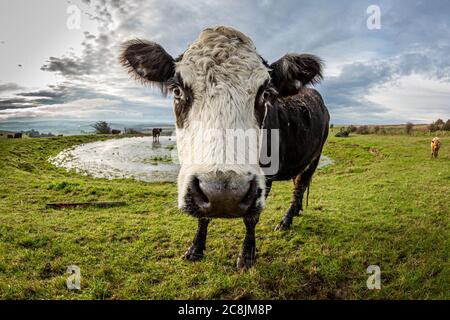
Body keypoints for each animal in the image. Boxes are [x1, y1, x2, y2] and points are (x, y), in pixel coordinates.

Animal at [121, 26, 328, 268]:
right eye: (177, 90)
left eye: (265, 93)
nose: (224, 194)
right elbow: (202, 216)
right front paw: (195, 249)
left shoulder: (263, 179)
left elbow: (251, 218)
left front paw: (246, 256)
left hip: (314, 157)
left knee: (299, 187)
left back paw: (286, 220)